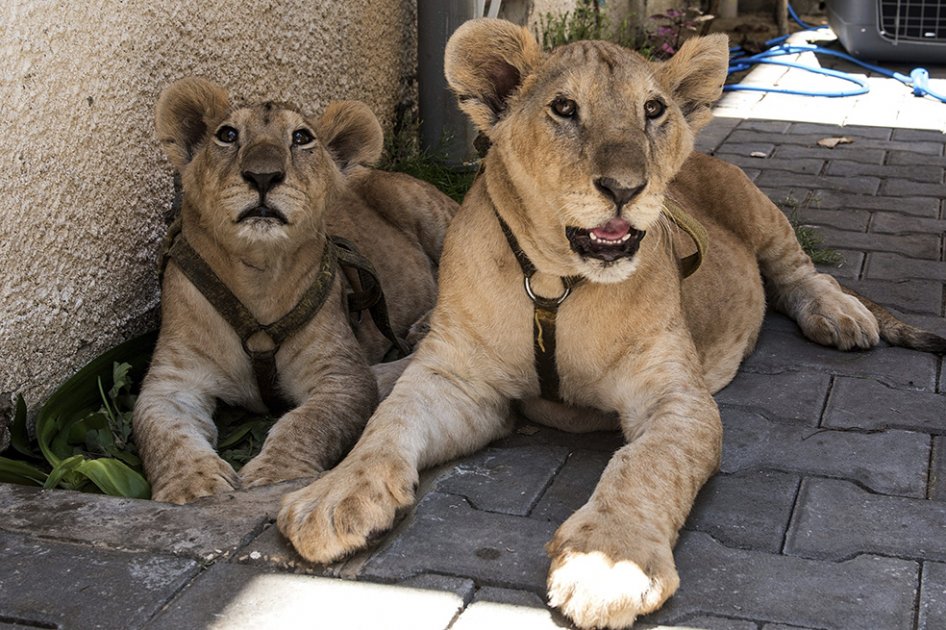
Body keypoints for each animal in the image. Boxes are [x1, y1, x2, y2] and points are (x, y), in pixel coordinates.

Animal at [133, 77, 457, 504]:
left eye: (301, 137)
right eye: (228, 134)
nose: (263, 176)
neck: (258, 274)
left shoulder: (341, 375)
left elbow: (307, 423)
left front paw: (275, 474)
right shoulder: (171, 382)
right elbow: (163, 432)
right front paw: (192, 485)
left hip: (432, 215)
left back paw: (424, 327)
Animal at [274, 20, 946, 629]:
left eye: (653, 110)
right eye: (564, 108)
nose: (626, 188)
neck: (555, 280)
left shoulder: (677, 396)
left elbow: (645, 465)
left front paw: (610, 562)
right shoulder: (460, 383)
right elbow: (388, 423)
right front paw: (332, 496)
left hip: (759, 210)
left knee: (804, 273)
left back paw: (843, 316)